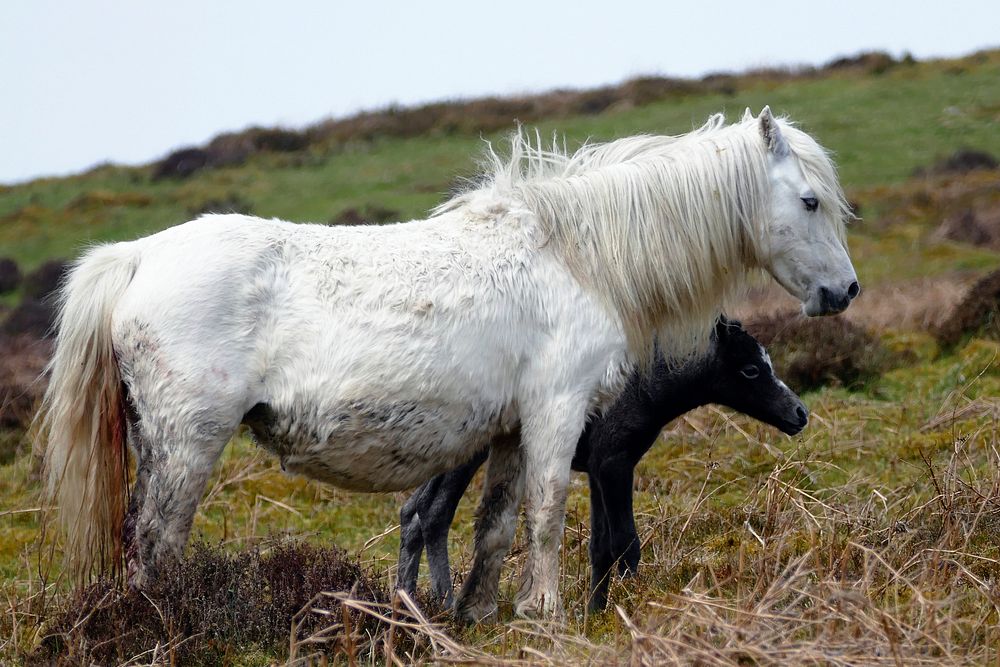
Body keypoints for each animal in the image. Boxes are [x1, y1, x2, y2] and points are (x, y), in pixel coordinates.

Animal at [35, 104, 856, 620]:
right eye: (810, 201)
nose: (843, 291)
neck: (575, 255)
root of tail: (138, 256)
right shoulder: (558, 412)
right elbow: (549, 513)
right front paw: (545, 614)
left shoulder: (508, 430)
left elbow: (494, 527)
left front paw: (479, 613)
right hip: (187, 444)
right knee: (155, 545)